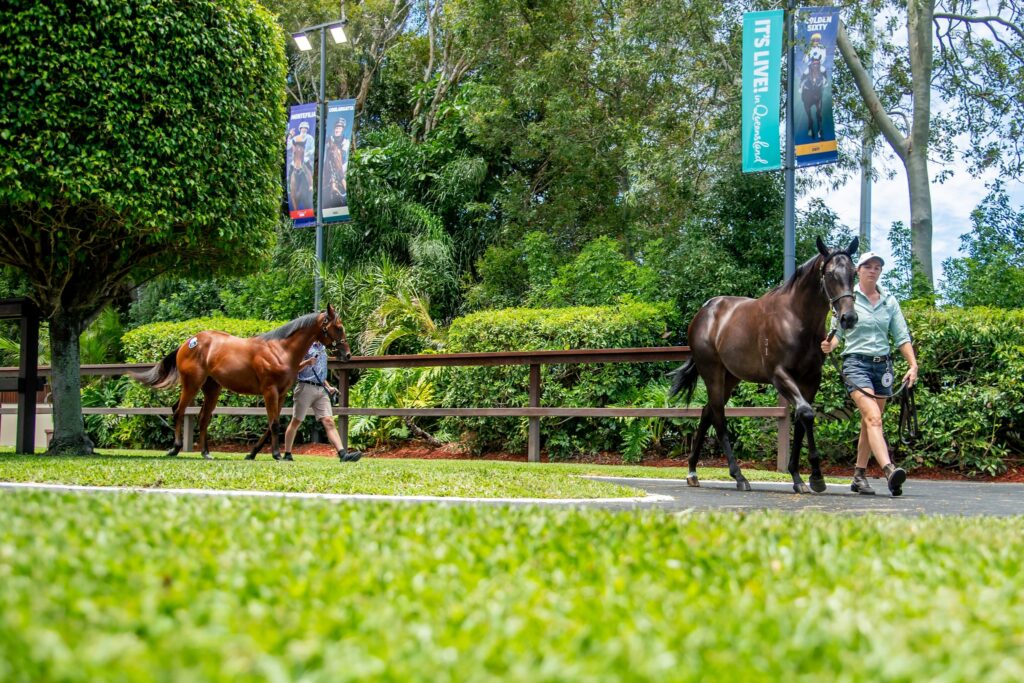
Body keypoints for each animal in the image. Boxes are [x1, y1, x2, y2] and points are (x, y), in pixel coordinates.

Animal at [131, 305, 352, 460]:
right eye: (339, 327)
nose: (348, 355)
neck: (280, 350)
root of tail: (189, 342)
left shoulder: (280, 394)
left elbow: (271, 424)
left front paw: (253, 453)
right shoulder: (270, 391)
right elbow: (274, 423)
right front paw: (277, 455)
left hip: (212, 389)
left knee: (202, 418)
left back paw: (205, 453)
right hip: (191, 384)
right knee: (179, 410)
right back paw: (175, 448)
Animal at [669, 237, 859, 493]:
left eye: (854, 273)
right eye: (829, 274)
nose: (849, 318)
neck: (796, 318)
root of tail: (704, 312)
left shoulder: (811, 379)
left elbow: (802, 419)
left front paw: (800, 477)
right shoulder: (780, 375)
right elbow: (806, 413)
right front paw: (816, 477)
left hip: (731, 377)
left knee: (707, 412)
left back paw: (692, 471)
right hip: (713, 373)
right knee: (718, 417)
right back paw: (739, 477)